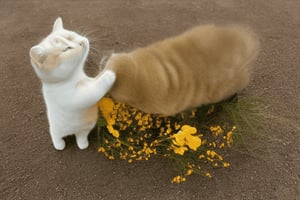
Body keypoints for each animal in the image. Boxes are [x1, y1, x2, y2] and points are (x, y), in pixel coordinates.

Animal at [29, 17, 116, 150]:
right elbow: (94, 90)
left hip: (84, 129)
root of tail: (72, 132)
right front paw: (109, 75)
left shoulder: (89, 81)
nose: (81, 42)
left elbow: (95, 81)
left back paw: (83, 144)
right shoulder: (76, 98)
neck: (74, 77)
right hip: (56, 131)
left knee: (81, 137)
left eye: (73, 35)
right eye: (66, 49)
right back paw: (59, 145)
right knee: (55, 136)